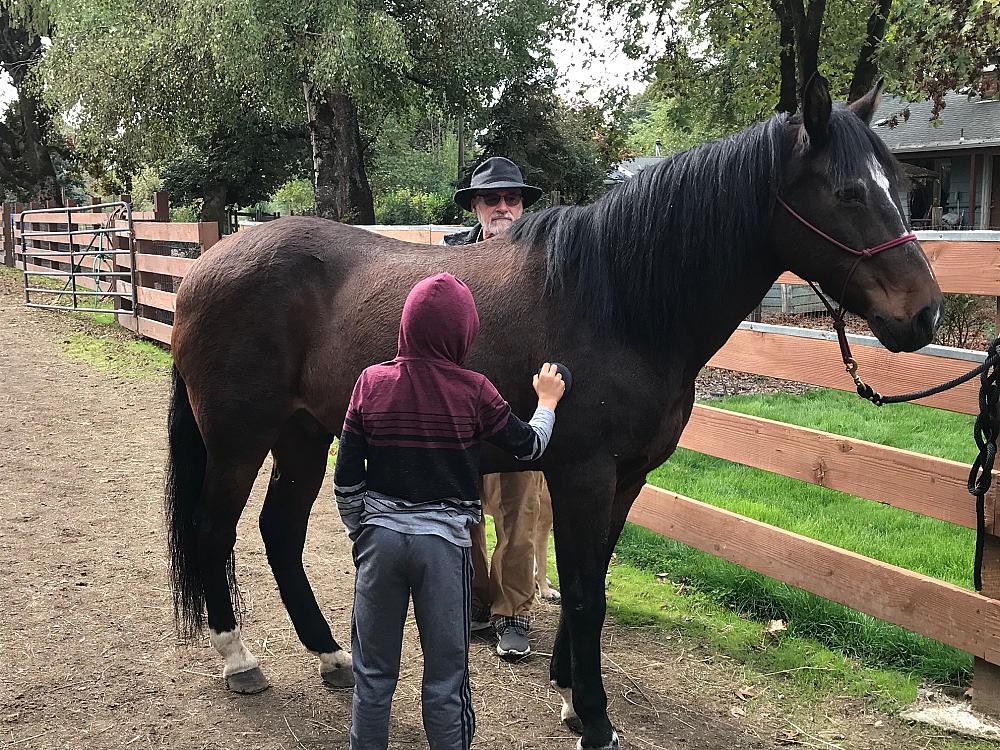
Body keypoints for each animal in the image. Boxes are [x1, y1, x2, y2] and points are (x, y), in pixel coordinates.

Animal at [165, 75, 942, 750]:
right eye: (848, 191)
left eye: (901, 187)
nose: (925, 314)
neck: (621, 302)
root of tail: (207, 264)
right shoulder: (584, 475)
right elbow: (586, 593)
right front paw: (595, 722)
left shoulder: (626, 479)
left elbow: (587, 582)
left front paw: (570, 694)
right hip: (239, 439)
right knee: (213, 529)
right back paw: (239, 660)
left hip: (304, 433)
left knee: (278, 532)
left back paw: (333, 658)